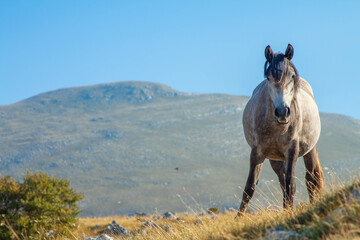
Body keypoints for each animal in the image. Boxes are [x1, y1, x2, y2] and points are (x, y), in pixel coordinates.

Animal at [238, 44, 324, 217]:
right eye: (269, 77)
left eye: (292, 76)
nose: (282, 112)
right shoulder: (257, 151)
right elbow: (250, 187)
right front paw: (238, 217)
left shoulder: (292, 149)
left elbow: (291, 183)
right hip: (276, 158)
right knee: (283, 183)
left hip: (309, 150)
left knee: (310, 179)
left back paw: (311, 205)